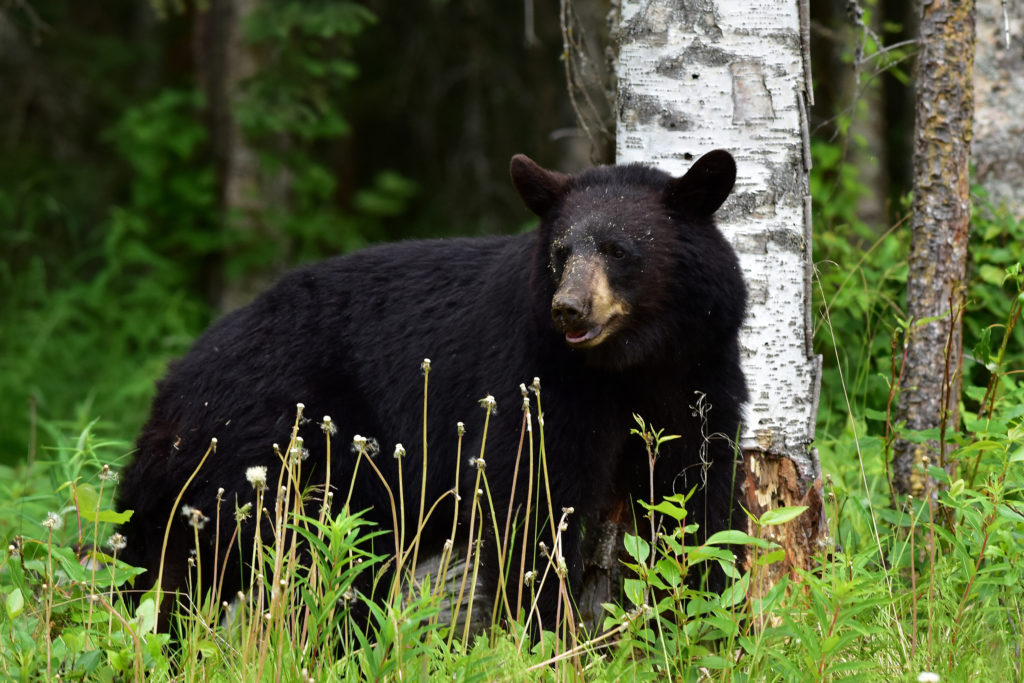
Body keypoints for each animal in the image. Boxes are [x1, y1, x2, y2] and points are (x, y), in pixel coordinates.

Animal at [117, 149, 745, 630]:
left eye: (618, 251)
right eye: (561, 252)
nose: (568, 308)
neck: (628, 364)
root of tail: (170, 393)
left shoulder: (698, 370)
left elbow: (700, 492)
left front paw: (707, 611)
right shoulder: (538, 378)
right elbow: (534, 502)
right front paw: (541, 632)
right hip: (276, 454)